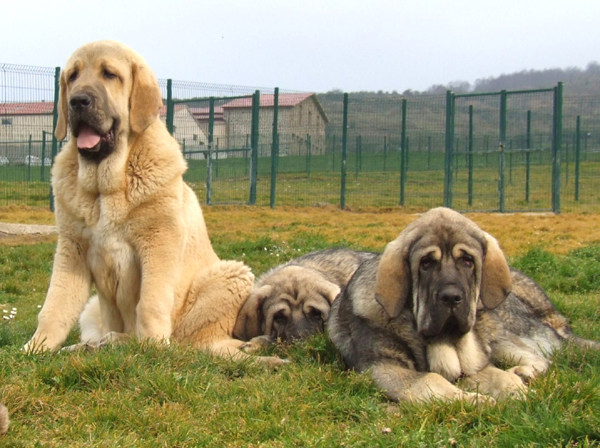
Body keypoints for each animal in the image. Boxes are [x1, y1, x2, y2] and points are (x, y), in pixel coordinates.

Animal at [24, 40, 282, 366]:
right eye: (72, 76)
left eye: (109, 74)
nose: (78, 101)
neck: (106, 187)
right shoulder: (73, 248)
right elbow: (54, 307)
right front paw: (37, 348)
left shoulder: (159, 242)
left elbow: (150, 303)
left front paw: (153, 348)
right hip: (94, 306)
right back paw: (91, 345)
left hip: (230, 275)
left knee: (188, 341)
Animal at [328, 208, 600, 404]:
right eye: (426, 263)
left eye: (468, 261)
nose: (451, 297)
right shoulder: (385, 369)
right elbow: (432, 381)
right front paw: (477, 401)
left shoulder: (477, 366)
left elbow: (501, 377)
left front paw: (519, 393)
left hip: (497, 337)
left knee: (541, 357)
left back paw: (524, 372)